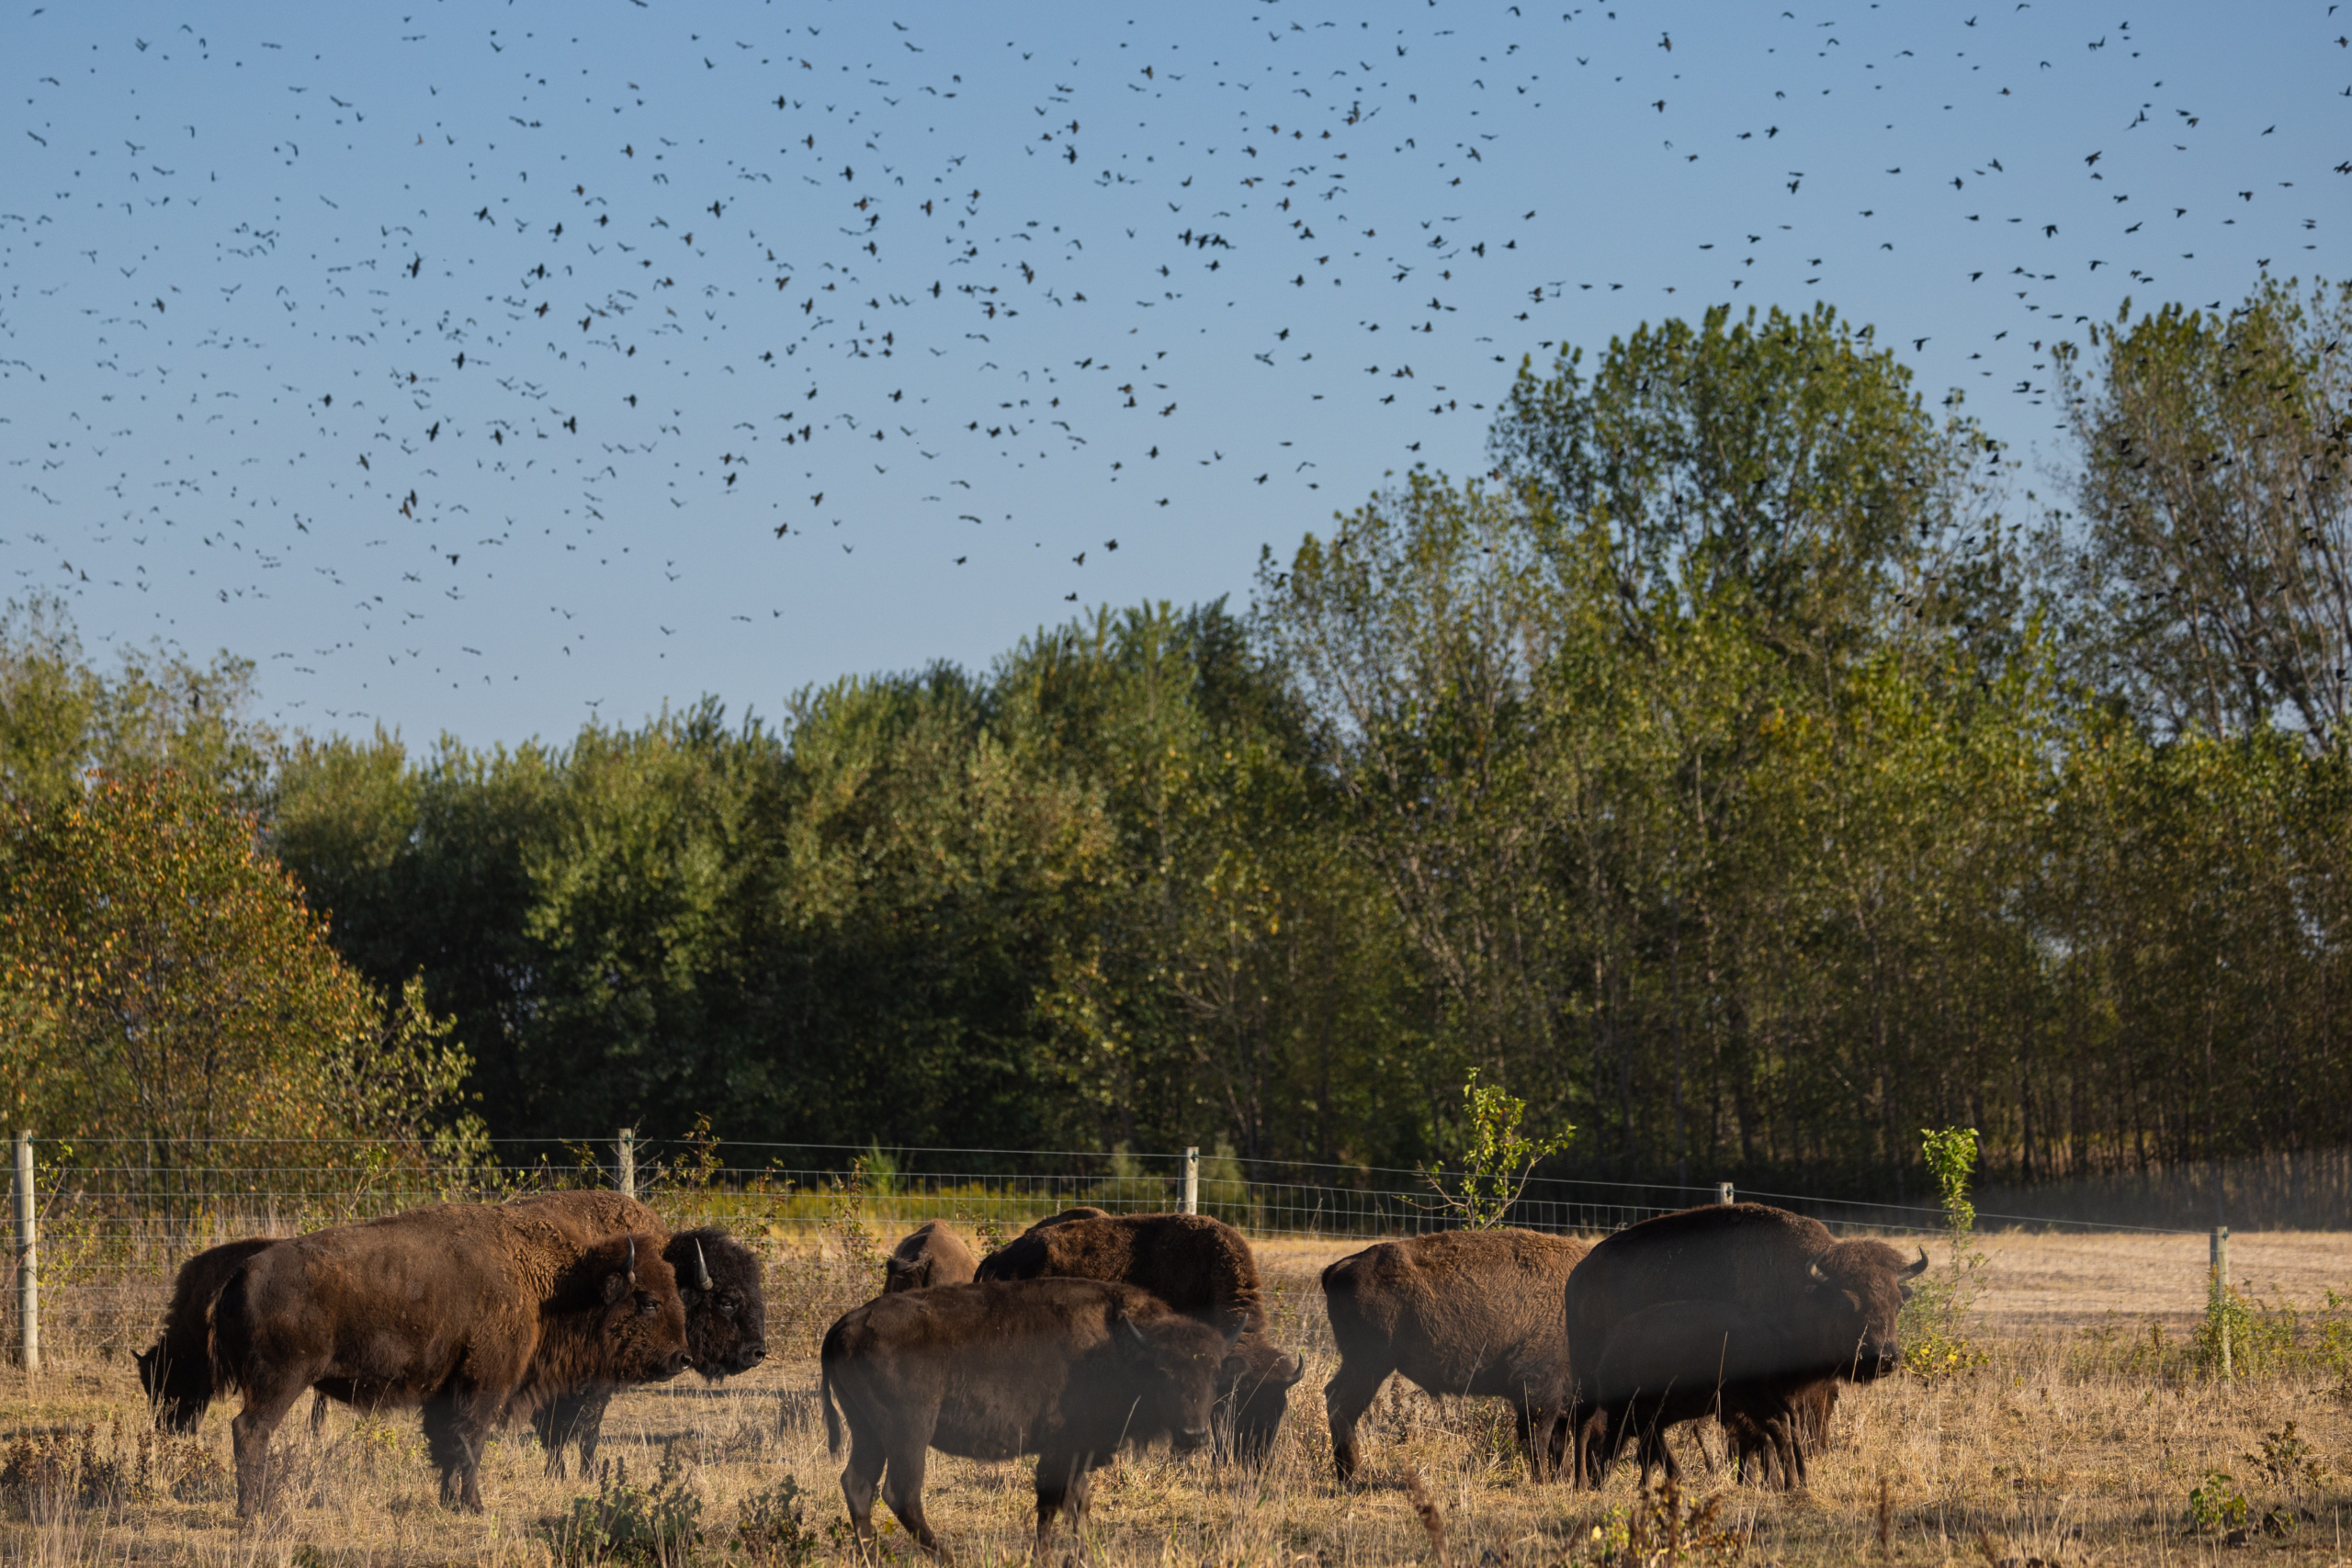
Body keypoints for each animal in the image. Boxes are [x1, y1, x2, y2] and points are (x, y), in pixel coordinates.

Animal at [212, 1204, 690, 1516]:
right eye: (648, 1301)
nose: (682, 1358)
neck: (546, 1285)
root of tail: (242, 1273)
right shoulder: (486, 1382)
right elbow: (470, 1441)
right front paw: (475, 1506)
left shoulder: (444, 1390)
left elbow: (445, 1444)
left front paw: (447, 1501)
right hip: (280, 1382)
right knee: (250, 1430)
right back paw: (253, 1512)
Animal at [503, 1190, 769, 1476]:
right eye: (727, 1301)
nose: (758, 1352)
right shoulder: (592, 1382)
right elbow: (578, 1430)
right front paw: (584, 1475)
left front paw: (562, 1475)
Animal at [821, 1278, 1230, 1559]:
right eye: (1164, 1372)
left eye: (1215, 1372)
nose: (1194, 1434)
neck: (1120, 1343)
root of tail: (844, 1325)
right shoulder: (1065, 1449)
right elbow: (1054, 1501)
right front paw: (1047, 1555)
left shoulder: (1073, 1452)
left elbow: (1074, 1501)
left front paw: (1079, 1553)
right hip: (908, 1434)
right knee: (900, 1492)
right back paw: (948, 1558)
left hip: (868, 1432)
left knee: (858, 1484)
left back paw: (872, 1557)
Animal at [1320, 1228, 1591, 1482]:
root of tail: (1338, 1268)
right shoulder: (1540, 1388)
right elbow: (1541, 1437)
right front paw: (1543, 1480)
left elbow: (1559, 1439)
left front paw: (1563, 1478)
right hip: (1369, 1364)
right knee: (1342, 1405)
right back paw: (1352, 1476)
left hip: (1363, 1365)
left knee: (1334, 1397)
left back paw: (1345, 1475)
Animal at [1561, 1202, 1925, 1484]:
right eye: (1847, 1303)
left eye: (1897, 1303)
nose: (1883, 1358)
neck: (1800, 1290)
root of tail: (1579, 1273)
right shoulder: (1744, 1389)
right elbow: (1753, 1435)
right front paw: (1761, 1480)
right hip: (1589, 1374)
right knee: (1585, 1423)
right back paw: (1581, 1482)